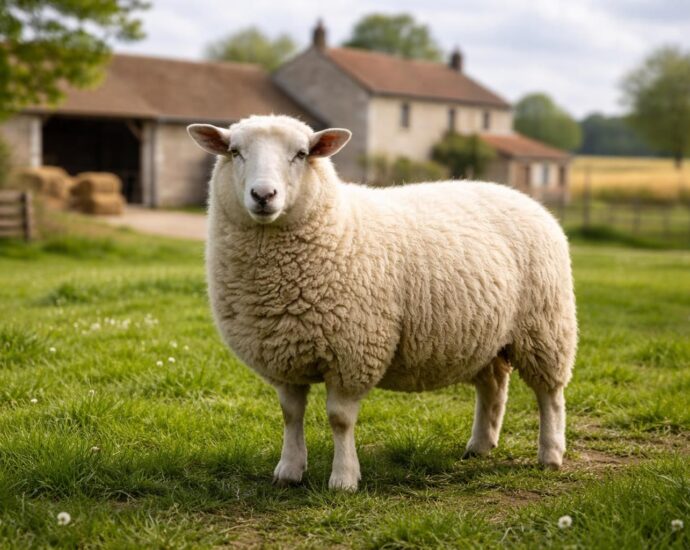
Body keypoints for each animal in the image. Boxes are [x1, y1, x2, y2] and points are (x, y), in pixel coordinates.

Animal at [187, 115, 577, 491]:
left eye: (301, 154)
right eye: (235, 152)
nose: (263, 195)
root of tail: (522, 197)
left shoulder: (353, 351)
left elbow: (340, 419)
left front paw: (344, 479)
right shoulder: (283, 355)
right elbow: (290, 414)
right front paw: (289, 470)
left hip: (544, 326)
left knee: (550, 394)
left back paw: (550, 454)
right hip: (487, 335)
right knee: (493, 386)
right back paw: (480, 445)